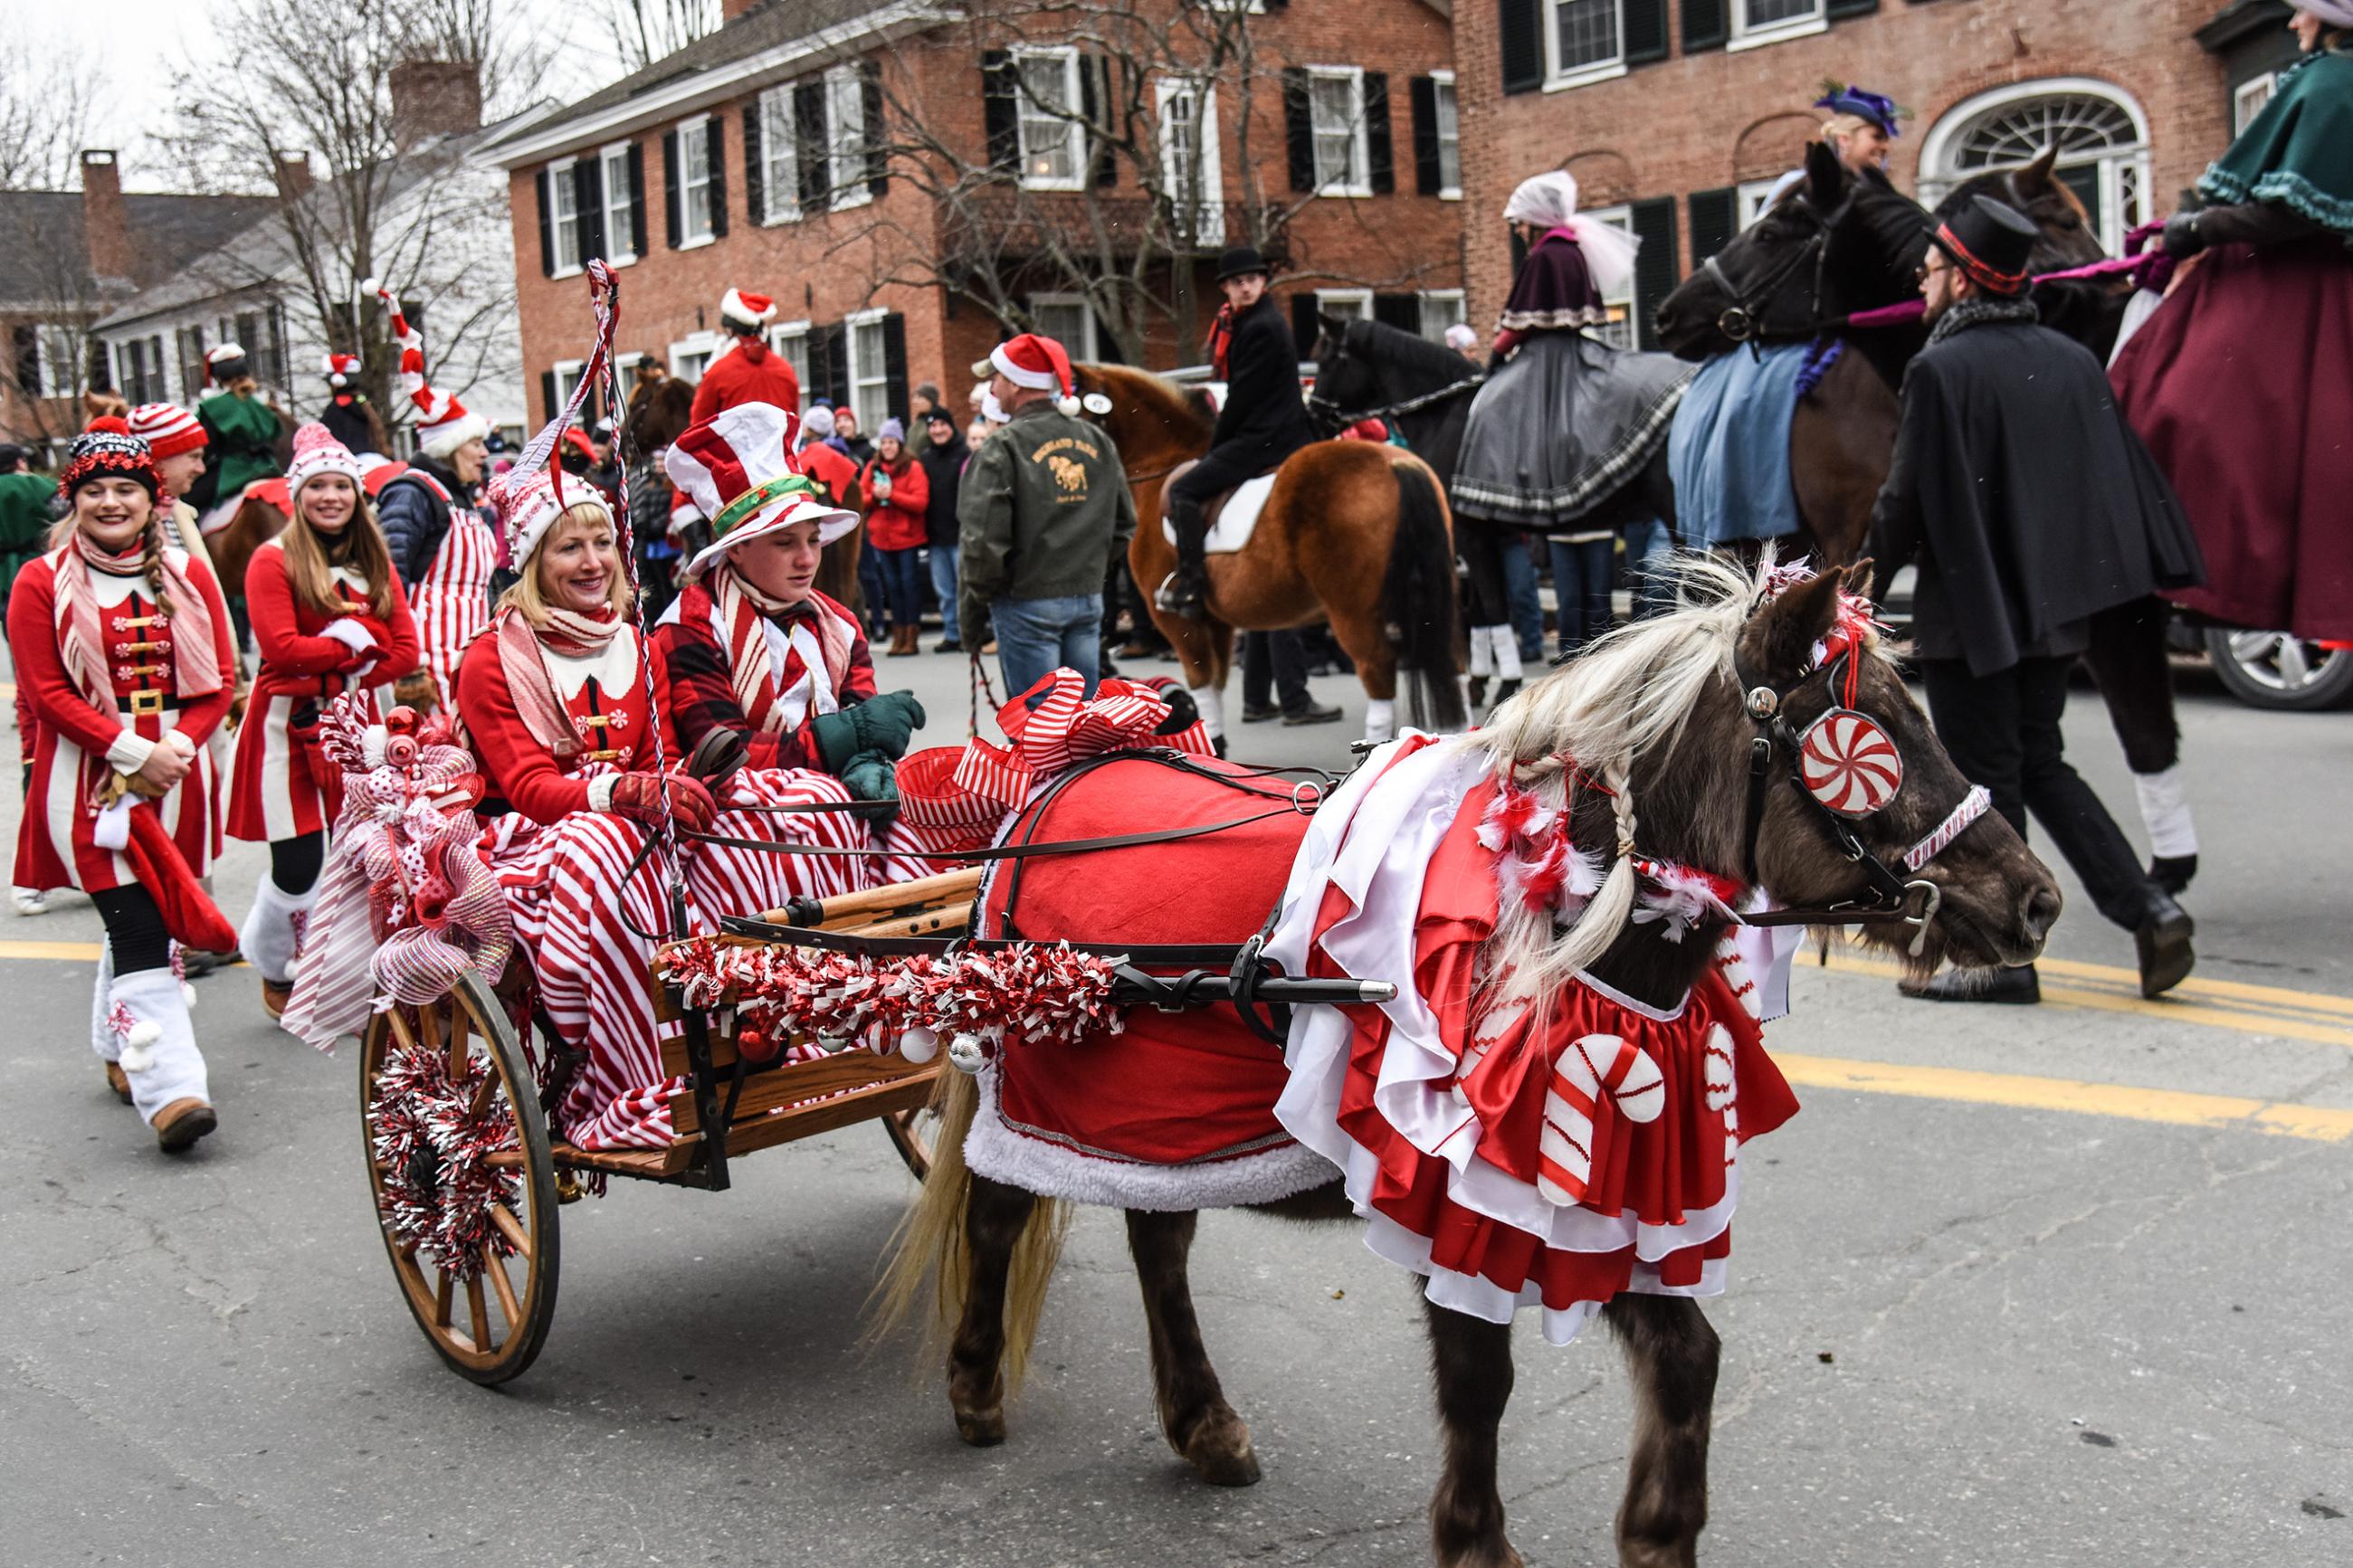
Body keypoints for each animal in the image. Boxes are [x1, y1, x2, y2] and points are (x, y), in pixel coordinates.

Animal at [884, 555, 2061, 1568]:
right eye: (1868, 739)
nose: (2034, 899)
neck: (1559, 931)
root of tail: (1062, 776)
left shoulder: (1609, 1180)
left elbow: (1686, 1358)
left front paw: (1655, 1533)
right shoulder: (1463, 1197)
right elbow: (1477, 1376)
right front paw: (1474, 1538)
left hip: (1162, 1121)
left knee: (1156, 1237)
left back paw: (1205, 1422)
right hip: (1047, 1092)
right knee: (999, 1209)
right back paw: (976, 1387)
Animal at [1077, 364, 1459, 747]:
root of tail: (1396, 463)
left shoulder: (1178, 621)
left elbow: (1202, 683)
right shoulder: (1216, 621)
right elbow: (1216, 685)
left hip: (1356, 614)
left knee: (1377, 679)